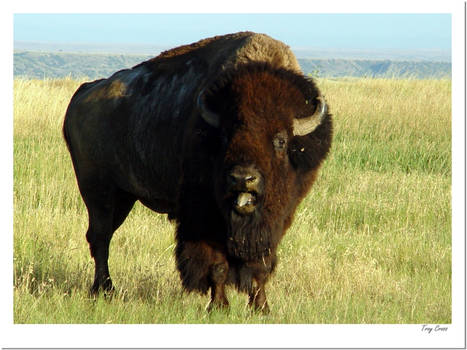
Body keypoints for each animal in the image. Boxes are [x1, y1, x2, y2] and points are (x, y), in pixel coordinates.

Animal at [63, 32, 332, 312]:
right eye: (224, 136)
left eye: (280, 140)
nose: (242, 179)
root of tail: (83, 93)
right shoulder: (203, 218)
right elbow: (217, 265)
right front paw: (219, 306)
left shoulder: (276, 219)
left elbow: (260, 266)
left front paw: (261, 308)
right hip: (98, 192)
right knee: (100, 237)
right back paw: (104, 289)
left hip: (124, 197)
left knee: (101, 236)